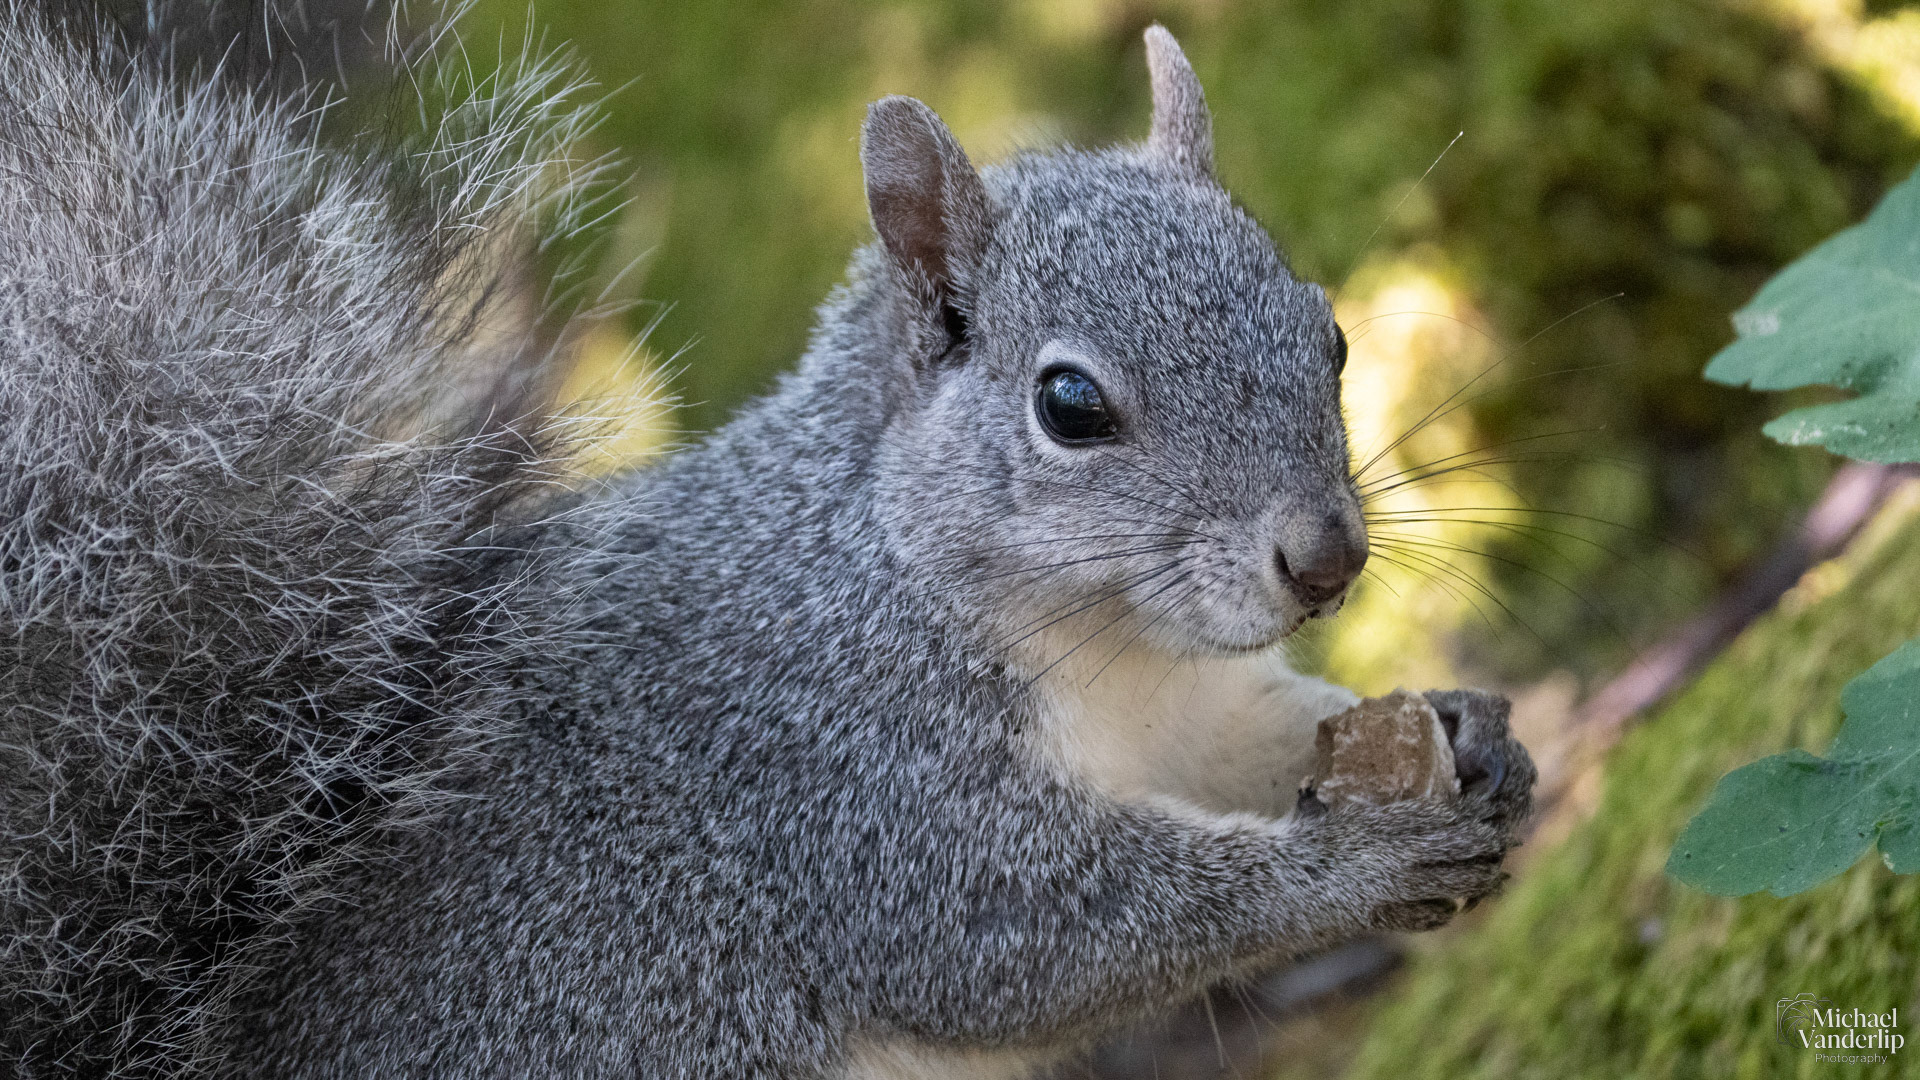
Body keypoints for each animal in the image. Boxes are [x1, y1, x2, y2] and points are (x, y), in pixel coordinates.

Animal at [0, 4, 1536, 1078]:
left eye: (1329, 335)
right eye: (1070, 406)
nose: (1326, 561)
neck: (1099, 648)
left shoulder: (1184, 710)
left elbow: (1263, 730)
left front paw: (1469, 733)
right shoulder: (829, 772)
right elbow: (1027, 933)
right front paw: (1352, 870)